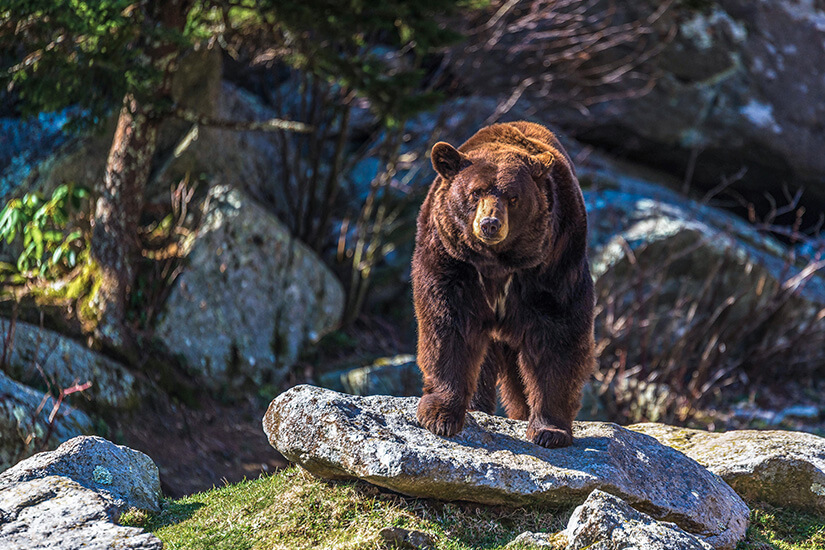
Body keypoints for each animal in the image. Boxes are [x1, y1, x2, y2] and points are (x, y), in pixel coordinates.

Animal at [410, 121, 592, 448]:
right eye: (475, 192)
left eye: (513, 197)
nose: (490, 224)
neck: (498, 264)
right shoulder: (451, 260)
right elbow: (448, 326)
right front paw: (440, 416)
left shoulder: (554, 264)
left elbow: (558, 335)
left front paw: (550, 430)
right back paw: (477, 406)